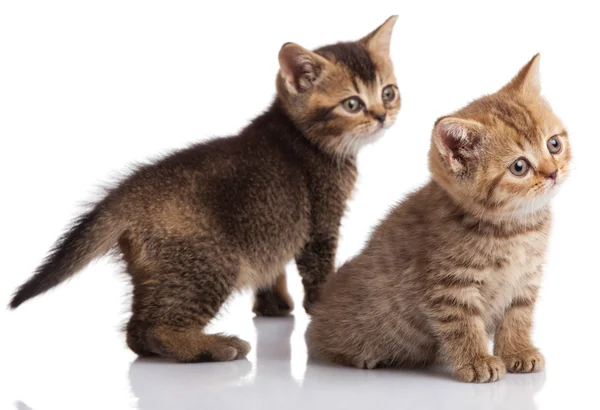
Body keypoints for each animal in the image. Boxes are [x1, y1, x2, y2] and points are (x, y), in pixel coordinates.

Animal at [8, 16, 404, 362]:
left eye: (388, 92)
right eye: (352, 103)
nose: (382, 115)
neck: (302, 136)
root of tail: (128, 191)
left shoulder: (274, 231)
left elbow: (272, 264)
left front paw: (273, 305)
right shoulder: (321, 220)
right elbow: (317, 267)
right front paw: (323, 306)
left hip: (162, 271)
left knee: (138, 331)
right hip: (211, 264)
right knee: (149, 330)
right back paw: (212, 346)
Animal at [310, 53, 572, 382]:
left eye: (554, 144)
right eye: (519, 167)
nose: (553, 172)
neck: (515, 229)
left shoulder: (526, 280)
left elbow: (518, 317)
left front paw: (518, 351)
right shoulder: (449, 287)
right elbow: (463, 326)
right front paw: (476, 361)